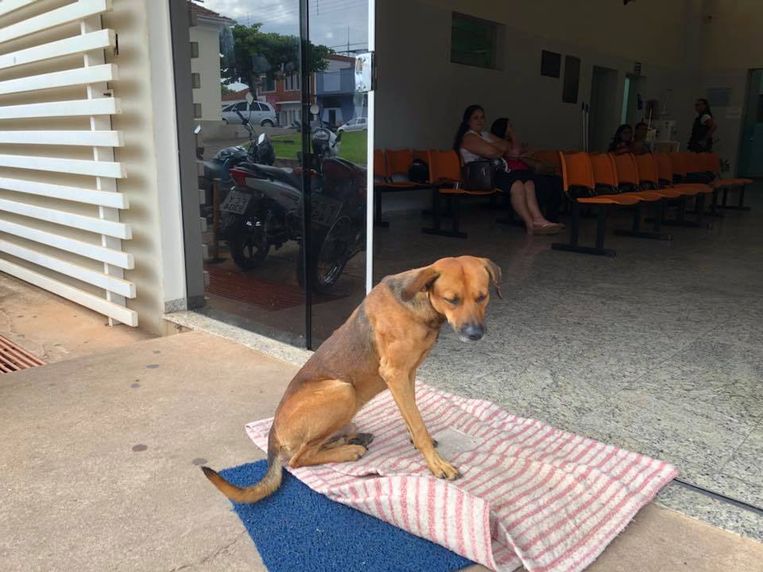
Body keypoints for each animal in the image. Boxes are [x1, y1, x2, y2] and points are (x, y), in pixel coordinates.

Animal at [203, 256, 502, 502]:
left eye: (482, 297)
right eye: (452, 299)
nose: (475, 334)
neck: (419, 301)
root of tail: (274, 432)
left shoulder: (409, 373)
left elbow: (412, 414)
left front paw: (419, 441)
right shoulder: (395, 373)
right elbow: (416, 422)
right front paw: (435, 462)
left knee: (314, 447)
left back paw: (353, 439)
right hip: (344, 391)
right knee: (298, 459)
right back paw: (349, 451)